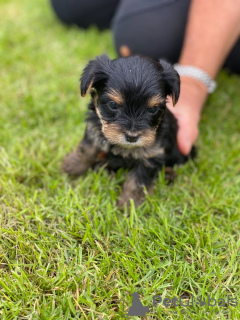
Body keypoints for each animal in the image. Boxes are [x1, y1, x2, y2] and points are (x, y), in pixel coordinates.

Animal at [62, 55, 196, 209]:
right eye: (113, 105)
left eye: (153, 109)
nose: (132, 137)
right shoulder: (94, 129)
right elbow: (86, 148)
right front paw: (73, 165)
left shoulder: (151, 154)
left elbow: (137, 180)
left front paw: (129, 203)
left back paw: (168, 174)